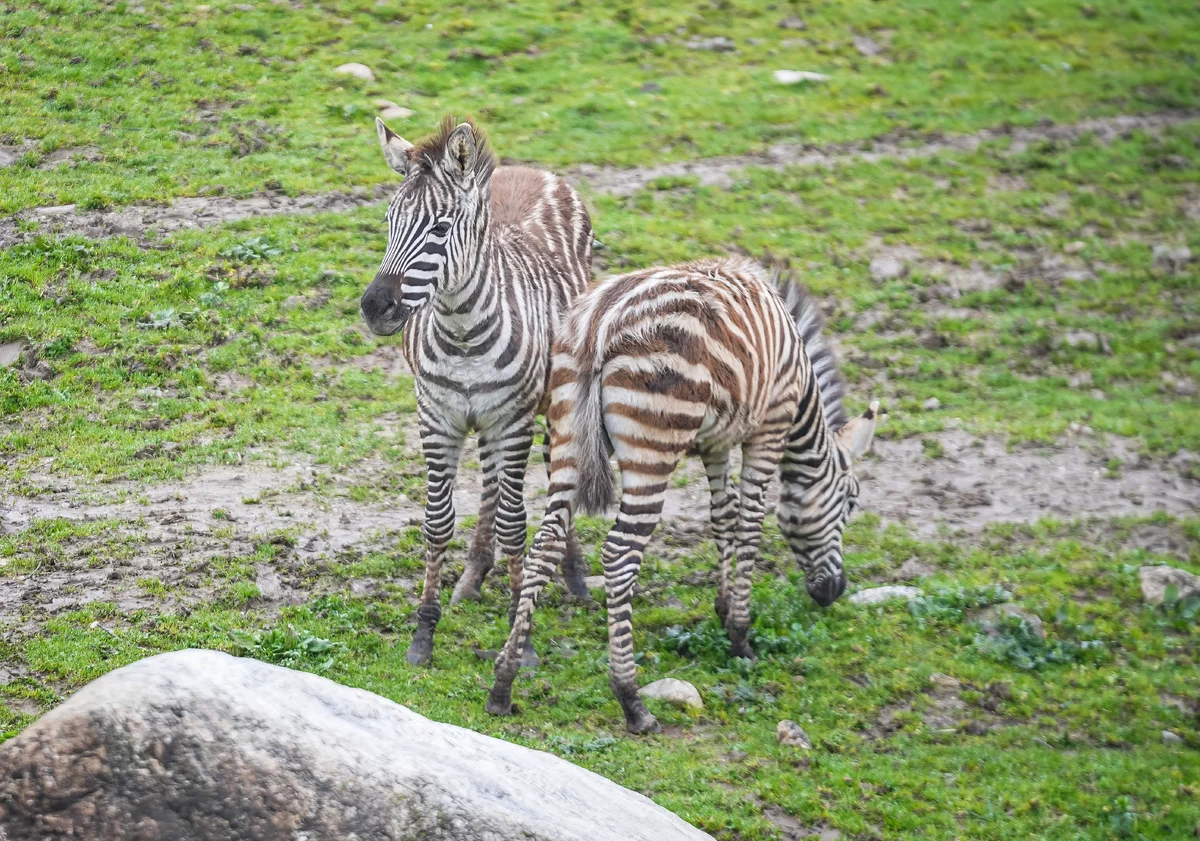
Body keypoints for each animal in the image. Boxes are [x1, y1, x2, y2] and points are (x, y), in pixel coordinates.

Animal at [358, 116, 596, 666]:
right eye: (388, 221)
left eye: (440, 230)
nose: (375, 308)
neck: (462, 333)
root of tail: (530, 169)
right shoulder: (437, 418)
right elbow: (437, 522)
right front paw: (424, 632)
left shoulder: (512, 421)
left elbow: (515, 522)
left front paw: (519, 636)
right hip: (484, 421)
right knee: (490, 483)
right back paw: (472, 573)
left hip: (550, 400)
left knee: (556, 471)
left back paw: (573, 574)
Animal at [486, 256, 878, 732]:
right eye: (851, 502)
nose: (834, 592)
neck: (801, 387)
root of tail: (599, 324)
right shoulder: (768, 428)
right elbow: (749, 527)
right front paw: (741, 636)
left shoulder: (715, 442)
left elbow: (723, 518)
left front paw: (724, 608)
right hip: (653, 441)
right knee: (619, 554)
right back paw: (632, 700)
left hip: (566, 434)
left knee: (544, 544)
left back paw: (503, 683)